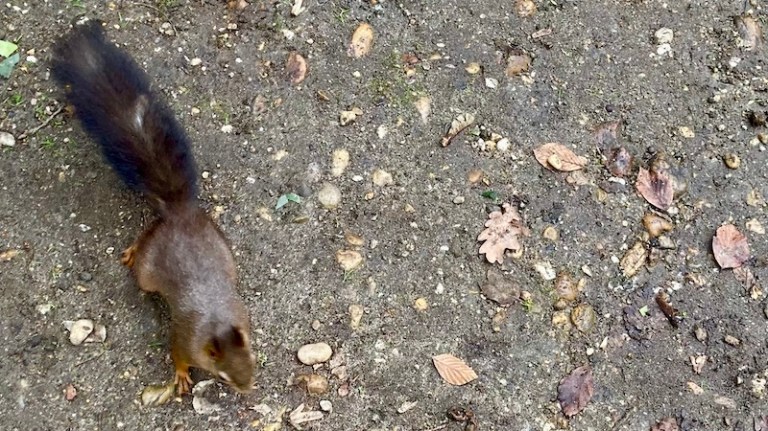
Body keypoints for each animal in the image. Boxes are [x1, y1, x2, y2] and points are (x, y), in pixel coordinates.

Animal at [51, 21, 256, 395]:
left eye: (252, 356)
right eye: (223, 375)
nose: (249, 387)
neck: (216, 322)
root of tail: (180, 213)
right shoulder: (183, 337)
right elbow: (177, 356)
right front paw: (181, 375)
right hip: (149, 272)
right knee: (146, 239)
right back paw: (133, 251)